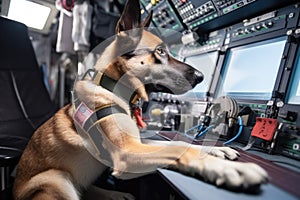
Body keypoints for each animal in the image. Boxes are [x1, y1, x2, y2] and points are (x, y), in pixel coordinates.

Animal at [12, 0, 268, 200]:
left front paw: (218, 151)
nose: (201, 76)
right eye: (161, 52)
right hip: (57, 179)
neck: (114, 90)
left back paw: (113, 193)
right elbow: (180, 149)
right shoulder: (128, 152)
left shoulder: (139, 142)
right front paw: (225, 169)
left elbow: (179, 144)